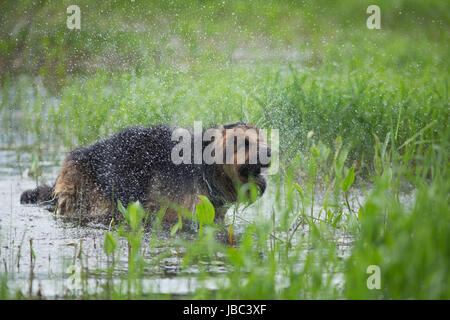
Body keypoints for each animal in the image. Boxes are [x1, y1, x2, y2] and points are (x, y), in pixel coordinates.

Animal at [20, 122, 270, 225]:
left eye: (262, 139)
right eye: (244, 143)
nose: (269, 151)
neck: (206, 171)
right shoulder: (180, 206)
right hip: (85, 190)